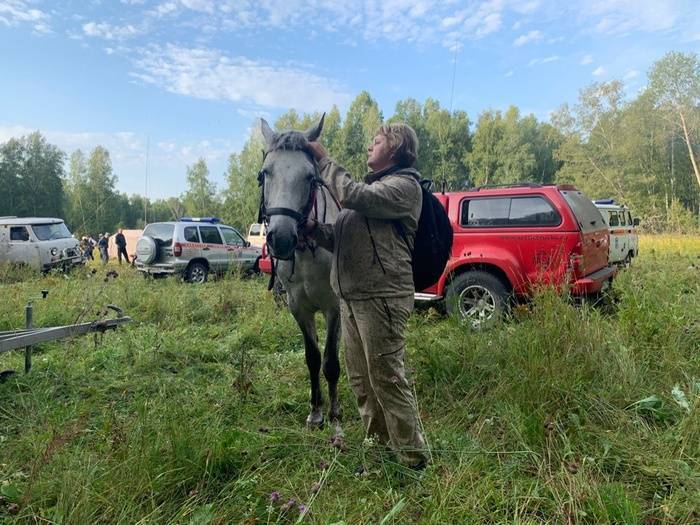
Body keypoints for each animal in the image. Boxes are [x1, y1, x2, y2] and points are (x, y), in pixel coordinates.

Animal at [258, 115, 344, 430]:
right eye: (264, 174)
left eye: (310, 177)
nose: (281, 239)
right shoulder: (299, 308)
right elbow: (313, 357)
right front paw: (316, 412)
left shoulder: (334, 308)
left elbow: (331, 361)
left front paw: (334, 415)